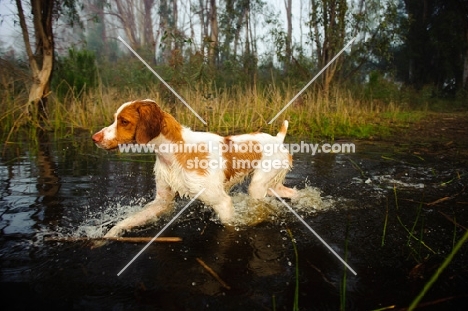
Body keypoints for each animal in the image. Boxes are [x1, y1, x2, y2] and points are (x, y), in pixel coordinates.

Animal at [91, 100, 296, 239]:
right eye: (115, 119)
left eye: (124, 121)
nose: (95, 138)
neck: (175, 151)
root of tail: (278, 138)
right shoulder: (161, 201)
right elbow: (129, 220)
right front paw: (109, 235)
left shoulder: (223, 202)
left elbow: (230, 225)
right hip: (271, 186)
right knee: (294, 193)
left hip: (257, 187)